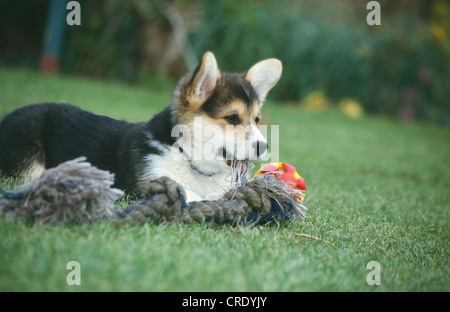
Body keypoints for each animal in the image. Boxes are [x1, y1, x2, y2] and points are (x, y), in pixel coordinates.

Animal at [0, 51, 282, 202]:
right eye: (232, 118)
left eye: (257, 119)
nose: (264, 146)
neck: (186, 155)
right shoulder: (151, 186)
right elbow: (188, 195)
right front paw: (213, 199)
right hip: (28, 158)